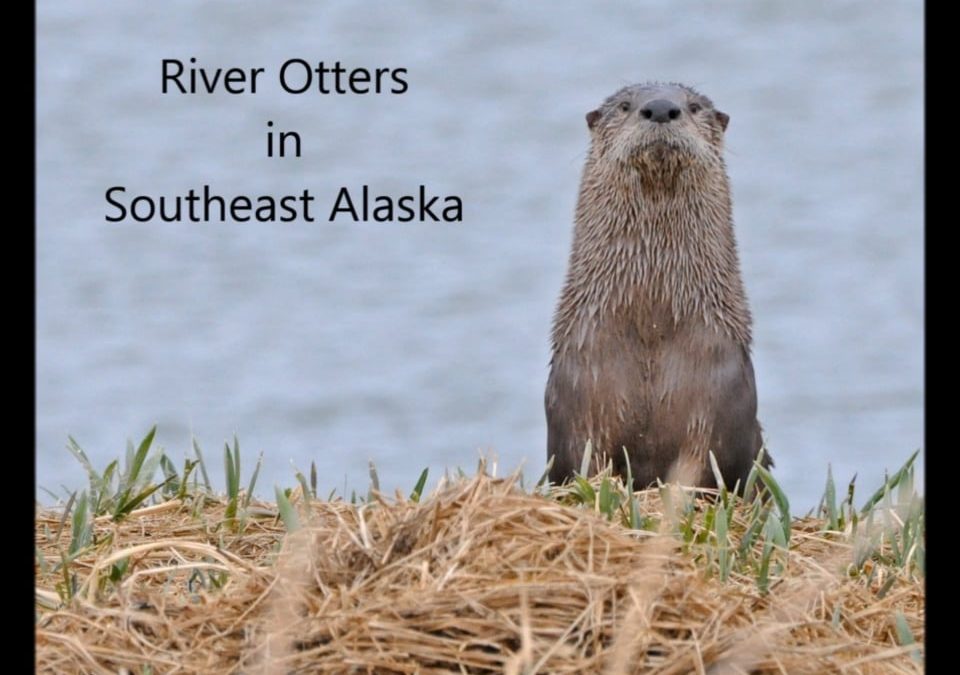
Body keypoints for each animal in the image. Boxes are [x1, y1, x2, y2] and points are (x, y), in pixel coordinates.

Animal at [545, 82, 770, 492]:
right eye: (624, 105)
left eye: (694, 106)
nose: (662, 108)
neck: (653, 327)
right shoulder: (577, 398)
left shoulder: (722, 401)